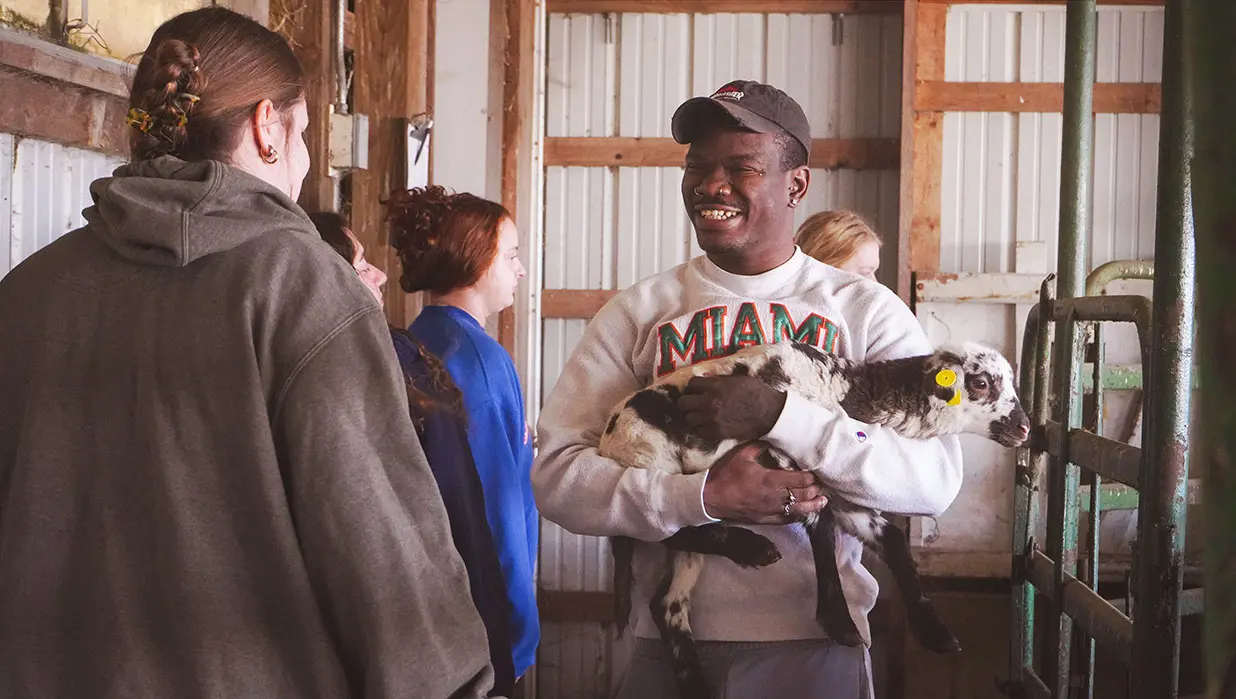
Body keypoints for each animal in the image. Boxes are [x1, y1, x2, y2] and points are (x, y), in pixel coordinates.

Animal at [598, 340, 1030, 699]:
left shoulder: (842, 491)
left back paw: (697, 686)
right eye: (980, 383)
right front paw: (839, 623)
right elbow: (822, 533)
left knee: (667, 601)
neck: (850, 391)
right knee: (655, 525)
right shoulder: (790, 465)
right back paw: (753, 549)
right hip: (651, 460)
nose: (1024, 427)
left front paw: (935, 633)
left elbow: (892, 540)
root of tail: (607, 441)